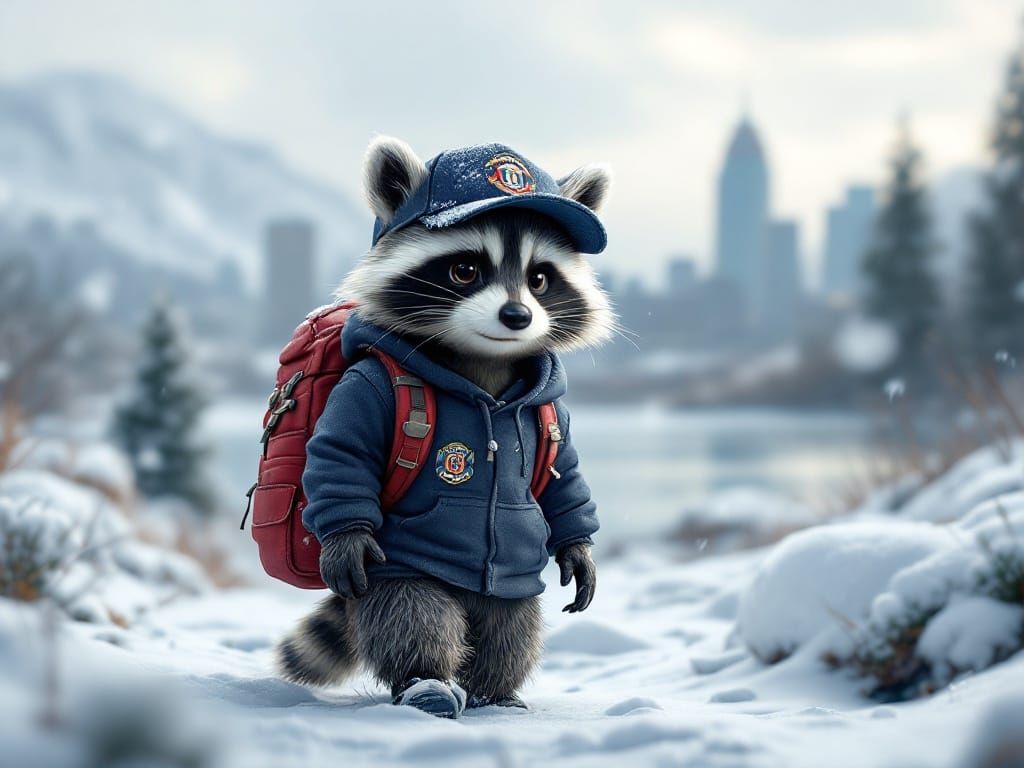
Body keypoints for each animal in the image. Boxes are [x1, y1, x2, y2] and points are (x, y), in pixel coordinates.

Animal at [276, 137, 612, 718]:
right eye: (464, 271)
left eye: (539, 278)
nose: (517, 316)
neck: (484, 376)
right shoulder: (369, 388)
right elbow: (344, 449)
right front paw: (345, 536)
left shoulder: (556, 419)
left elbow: (564, 476)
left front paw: (579, 546)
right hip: (395, 566)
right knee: (411, 612)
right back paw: (426, 680)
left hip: (508, 588)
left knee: (510, 626)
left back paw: (494, 689)